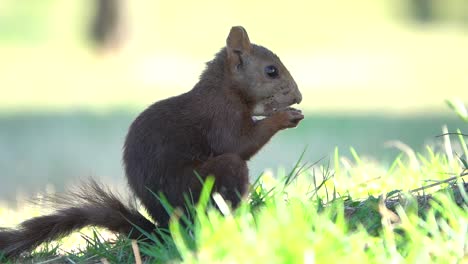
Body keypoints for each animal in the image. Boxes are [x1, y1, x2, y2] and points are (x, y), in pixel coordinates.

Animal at [0, 25, 304, 256]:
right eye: (271, 71)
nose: (298, 97)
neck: (224, 87)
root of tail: (167, 230)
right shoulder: (220, 116)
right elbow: (238, 144)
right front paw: (283, 117)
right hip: (209, 180)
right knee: (225, 182)